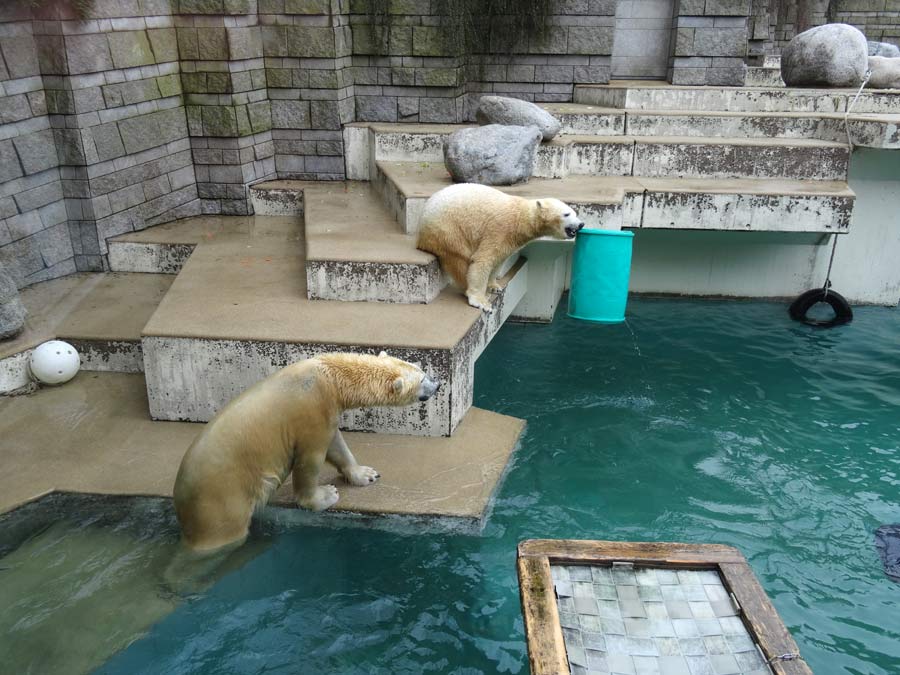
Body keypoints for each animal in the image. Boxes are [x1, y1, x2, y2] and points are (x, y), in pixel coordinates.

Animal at [172, 352, 440, 552]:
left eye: (420, 369)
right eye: (422, 379)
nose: (437, 384)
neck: (330, 377)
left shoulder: (329, 409)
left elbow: (337, 443)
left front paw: (366, 474)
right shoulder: (313, 409)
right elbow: (310, 459)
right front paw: (326, 495)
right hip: (222, 500)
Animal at [414, 184, 584, 312]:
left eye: (575, 213)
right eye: (566, 214)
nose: (581, 224)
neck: (521, 217)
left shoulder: (511, 239)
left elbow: (500, 258)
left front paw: (494, 286)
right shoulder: (500, 228)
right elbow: (484, 259)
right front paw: (481, 301)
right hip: (449, 228)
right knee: (459, 259)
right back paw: (466, 288)